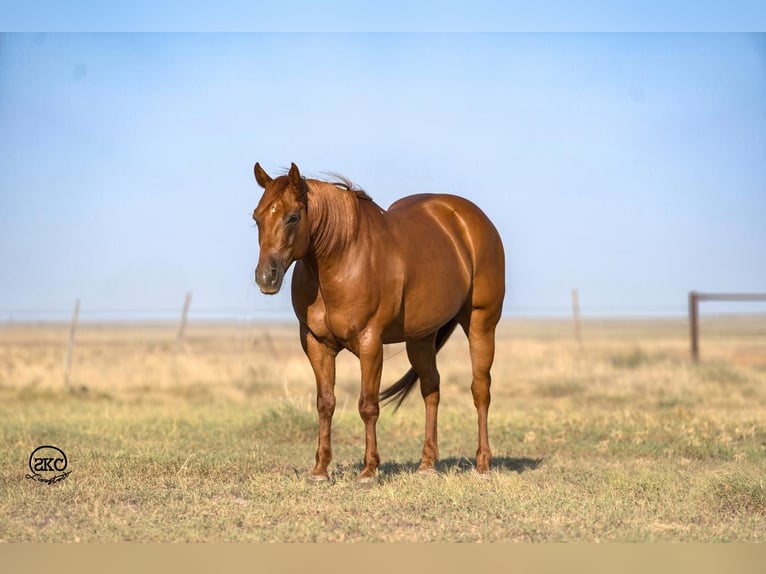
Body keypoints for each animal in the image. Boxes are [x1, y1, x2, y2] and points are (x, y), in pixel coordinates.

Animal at [252, 164, 508, 484]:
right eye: (257, 217)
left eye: (293, 217)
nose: (266, 277)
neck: (342, 257)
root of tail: (471, 220)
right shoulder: (316, 344)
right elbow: (325, 403)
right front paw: (320, 470)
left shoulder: (370, 342)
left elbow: (368, 405)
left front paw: (369, 470)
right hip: (421, 338)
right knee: (431, 388)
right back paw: (427, 465)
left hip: (481, 324)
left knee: (480, 389)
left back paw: (483, 465)